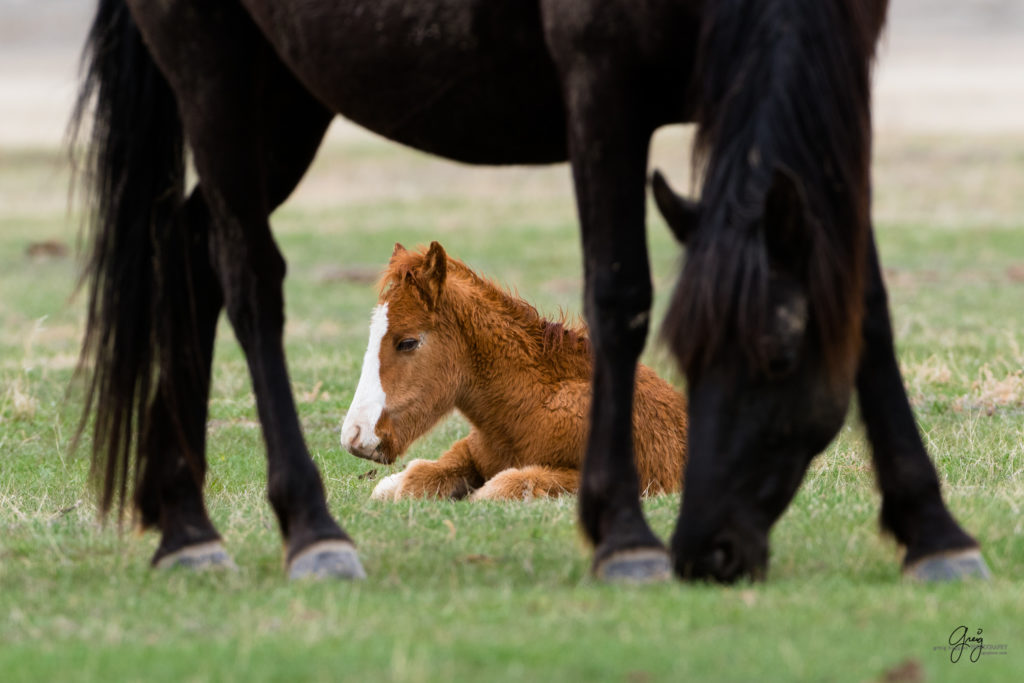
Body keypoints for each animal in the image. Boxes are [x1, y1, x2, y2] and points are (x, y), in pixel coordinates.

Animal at [342, 242, 688, 499]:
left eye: (408, 342)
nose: (353, 435)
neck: (529, 408)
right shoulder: (470, 451)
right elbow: (407, 480)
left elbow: (501, 486)